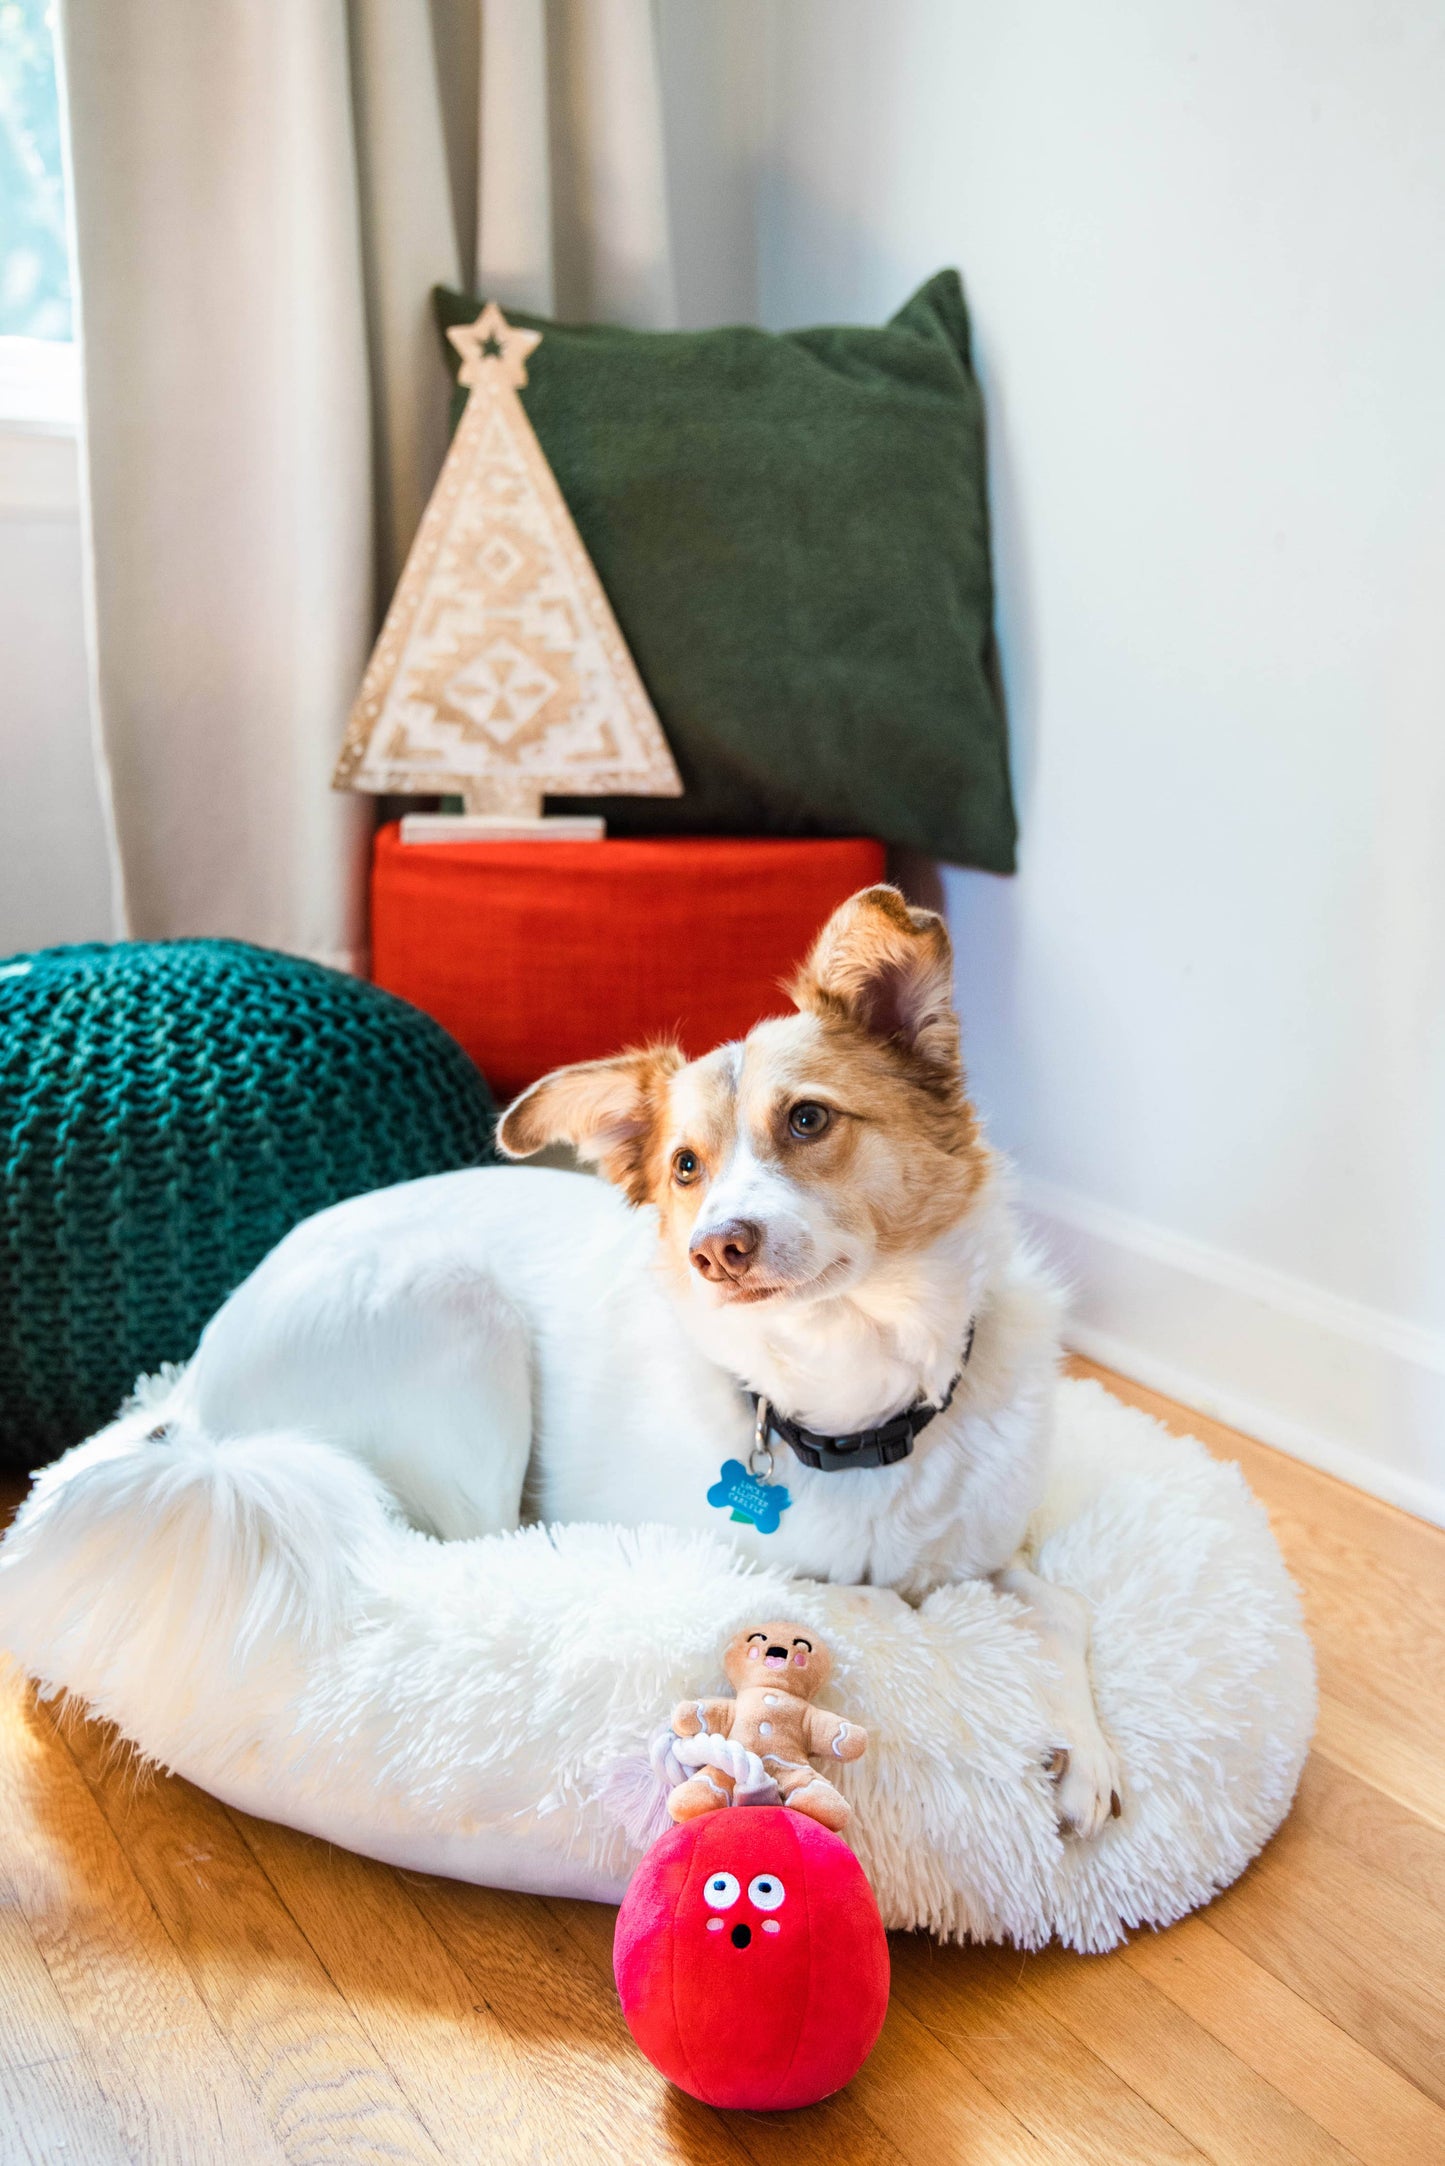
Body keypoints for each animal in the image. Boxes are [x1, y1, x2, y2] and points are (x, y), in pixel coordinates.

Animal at [172, 888, 1117, 1836]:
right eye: (684, 1167)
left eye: (808, 1118)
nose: (716, 1251)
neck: (853, 1393)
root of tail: (196, 1396)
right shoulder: (749, 1565)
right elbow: (875, 1601)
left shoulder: (988, 1549)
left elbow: (1062, 1608)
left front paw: (1085, 1751)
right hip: (456, 1315)